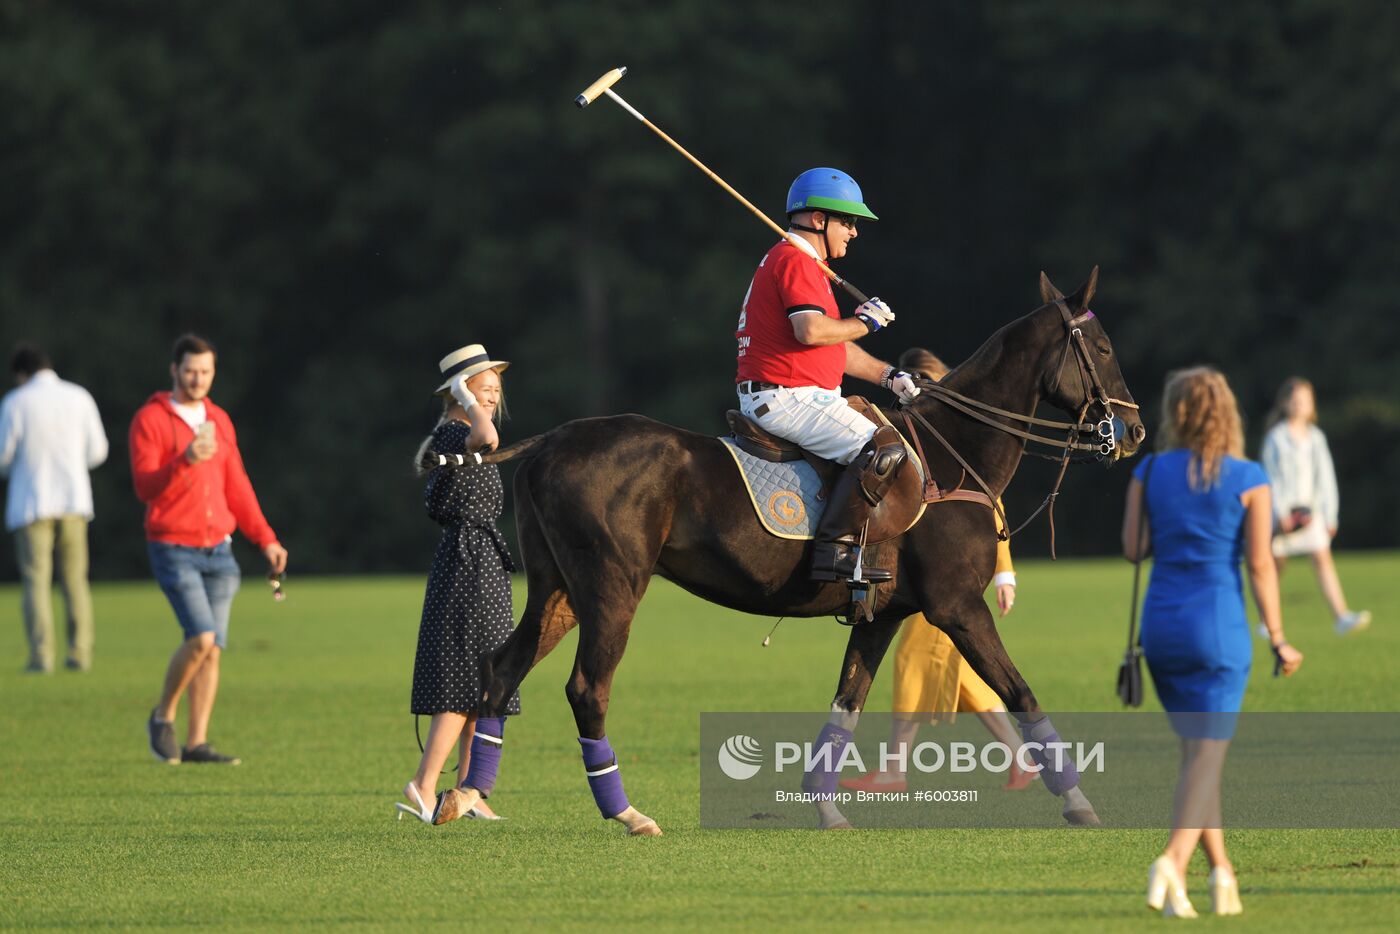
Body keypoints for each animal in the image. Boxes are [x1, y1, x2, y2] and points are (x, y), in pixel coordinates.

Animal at [448, 268, 1148, 834]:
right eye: (1104, 348)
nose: (1134, 430)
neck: (955, 455)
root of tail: (550, 441)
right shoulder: (957, 606)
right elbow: (1021, 692)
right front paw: (1079, 803)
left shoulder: (884, 613)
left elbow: (847, 702)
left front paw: (826, 806)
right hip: (612, 586)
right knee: (588, 687)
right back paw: (625, 813)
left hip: (556, 587)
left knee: (502, 669)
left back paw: (465, 797)